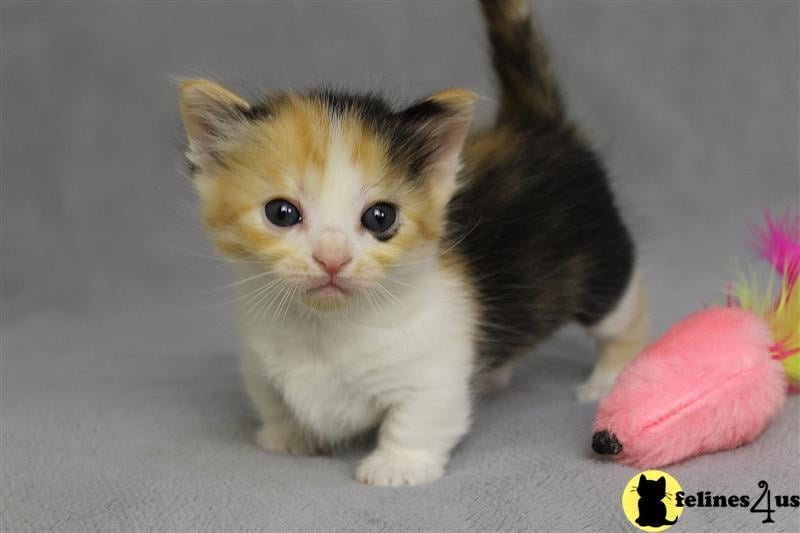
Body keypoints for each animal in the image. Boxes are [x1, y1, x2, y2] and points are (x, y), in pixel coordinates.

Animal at [177, 0, 648, 486]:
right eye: (281, 213)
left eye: (380, 217)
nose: (332, 258)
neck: (326, 328)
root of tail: (535, 125)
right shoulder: (257, 354)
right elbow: (270, 397)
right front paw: (286, 436)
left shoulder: (435, 365)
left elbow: (421, 415)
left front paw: (397, 464)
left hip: (600, 262)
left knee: (624, 313)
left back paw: (610, 376)